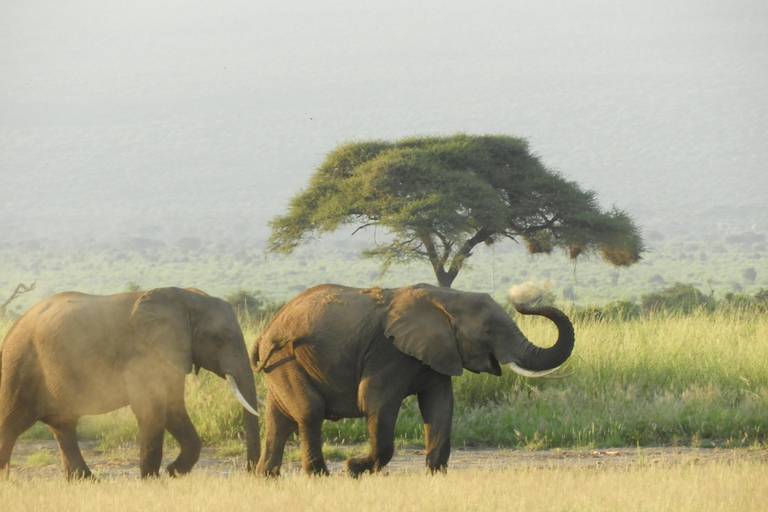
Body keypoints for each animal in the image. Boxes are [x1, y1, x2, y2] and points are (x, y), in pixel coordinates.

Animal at [0, 286, 262, 478]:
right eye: (218, 338)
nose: (251, 471)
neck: (184, 297)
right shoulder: (141, 354)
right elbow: (151, 409)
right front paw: (151, 480)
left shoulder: (171, 353)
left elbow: (174, 408)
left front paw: (173, 473)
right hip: (19, 366)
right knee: (11, 423)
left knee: (63, 426)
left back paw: (87, 481)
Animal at [252, 284, 576, 476]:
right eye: (488, 332)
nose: (522, 302)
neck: (448, 297)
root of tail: (265, 331)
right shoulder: (388, 351)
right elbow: (376, 401)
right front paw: (354, 468)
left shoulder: (439, 351)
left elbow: (440, 405)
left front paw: (436, 474)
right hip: (286, 357)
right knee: (309, 411)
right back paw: (319, 475)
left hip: (282, 364)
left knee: (279, 419)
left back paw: (266, 476)